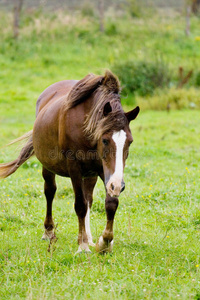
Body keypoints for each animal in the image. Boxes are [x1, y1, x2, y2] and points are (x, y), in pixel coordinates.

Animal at [0, 70, 140, 253]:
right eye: (104, 140)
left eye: (129, 141)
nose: (118, 186)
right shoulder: (75, 167)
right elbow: (79, 205)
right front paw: (82, 246)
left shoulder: (104, 171)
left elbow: (110, 203)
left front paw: (104, 242)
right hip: (48, 167)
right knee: (50, 192)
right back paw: (49, 231)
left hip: (90, 174)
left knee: (89, 199)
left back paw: (89, 237)